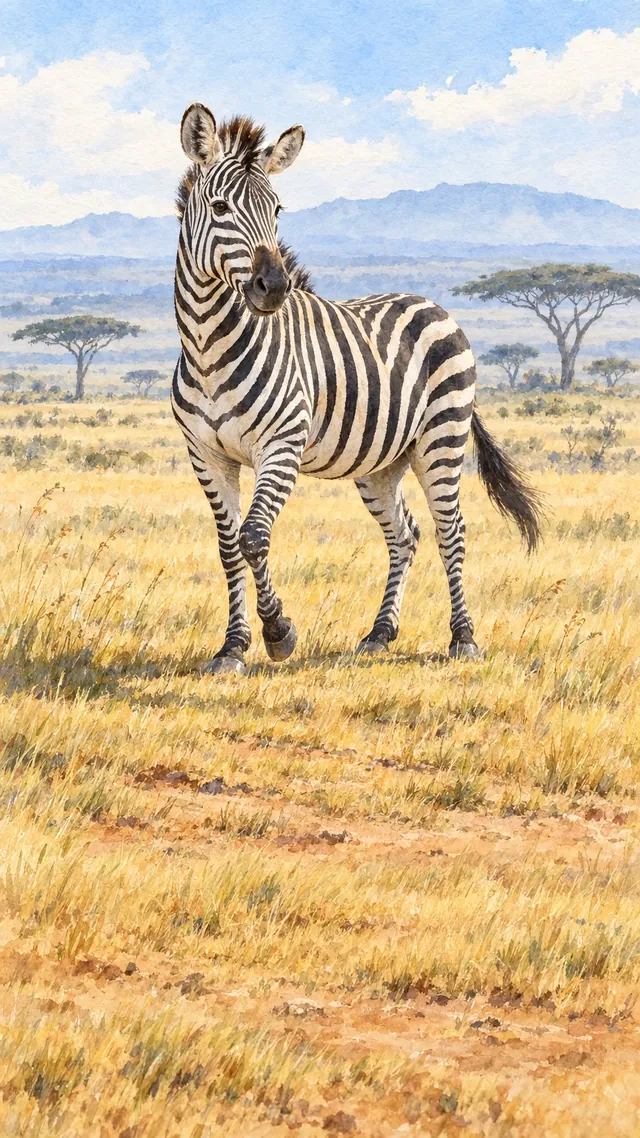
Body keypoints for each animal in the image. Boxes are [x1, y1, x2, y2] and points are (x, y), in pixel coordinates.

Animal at [172, 103, 542, 674]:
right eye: (218, 206)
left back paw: (463, 639)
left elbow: (255, 538)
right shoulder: (206, 456)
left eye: (277, 210)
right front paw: (232, 647)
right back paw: (380, 633)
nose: (274, 287)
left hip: (441, 439)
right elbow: (230, 545)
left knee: (451, 532)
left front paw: (279, 633)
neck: (210, 350)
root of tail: (432, 304)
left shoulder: (281, 444)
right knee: (405, 534)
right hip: (381, 461)